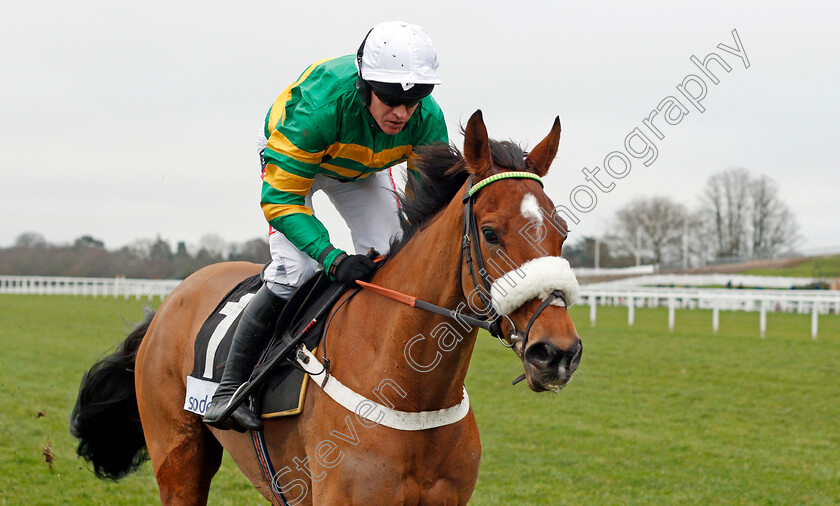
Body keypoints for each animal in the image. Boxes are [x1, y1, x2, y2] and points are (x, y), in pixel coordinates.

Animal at [70, 109, 584, 502]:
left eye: (562, 231)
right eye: (491, 233)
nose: (556, 352)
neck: (413, 394)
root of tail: (171, 300)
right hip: (178, 459)